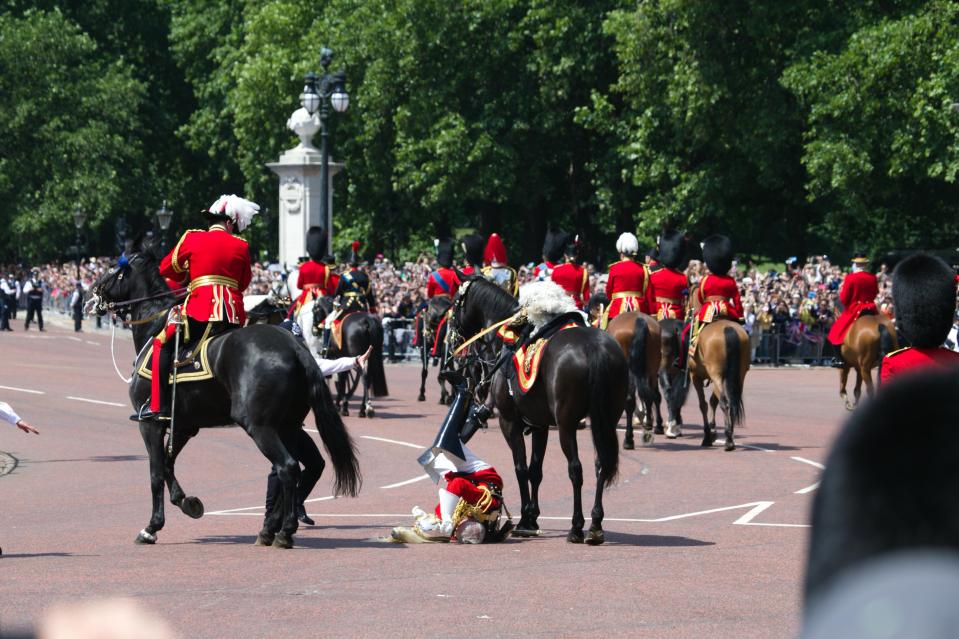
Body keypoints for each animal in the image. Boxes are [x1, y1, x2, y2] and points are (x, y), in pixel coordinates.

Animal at [93, 250, 360, 552]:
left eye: (113, 269)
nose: (94, 295)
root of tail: (295, 348)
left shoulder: (149, 423)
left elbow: (156, 472)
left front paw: (152, 527)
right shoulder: (184, 425)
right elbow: (168, 464)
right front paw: (188, 503)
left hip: (260, 426)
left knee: (287, 468)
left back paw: (281, 531)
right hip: (288, 426)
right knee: (291, 471)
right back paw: (272, 528)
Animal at [450, 278, 632, 544]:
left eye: (455, 302)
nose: (452, 339)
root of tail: (595, 348)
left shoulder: (509, 422)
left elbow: (521, 468)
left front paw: (525, 519)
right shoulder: (540, 424)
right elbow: (536, 470)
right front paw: (532, 517)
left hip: (567, 424)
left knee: (576, 469)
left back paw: (576, 527)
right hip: (605, 421)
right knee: (600, 464)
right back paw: (596, 525)